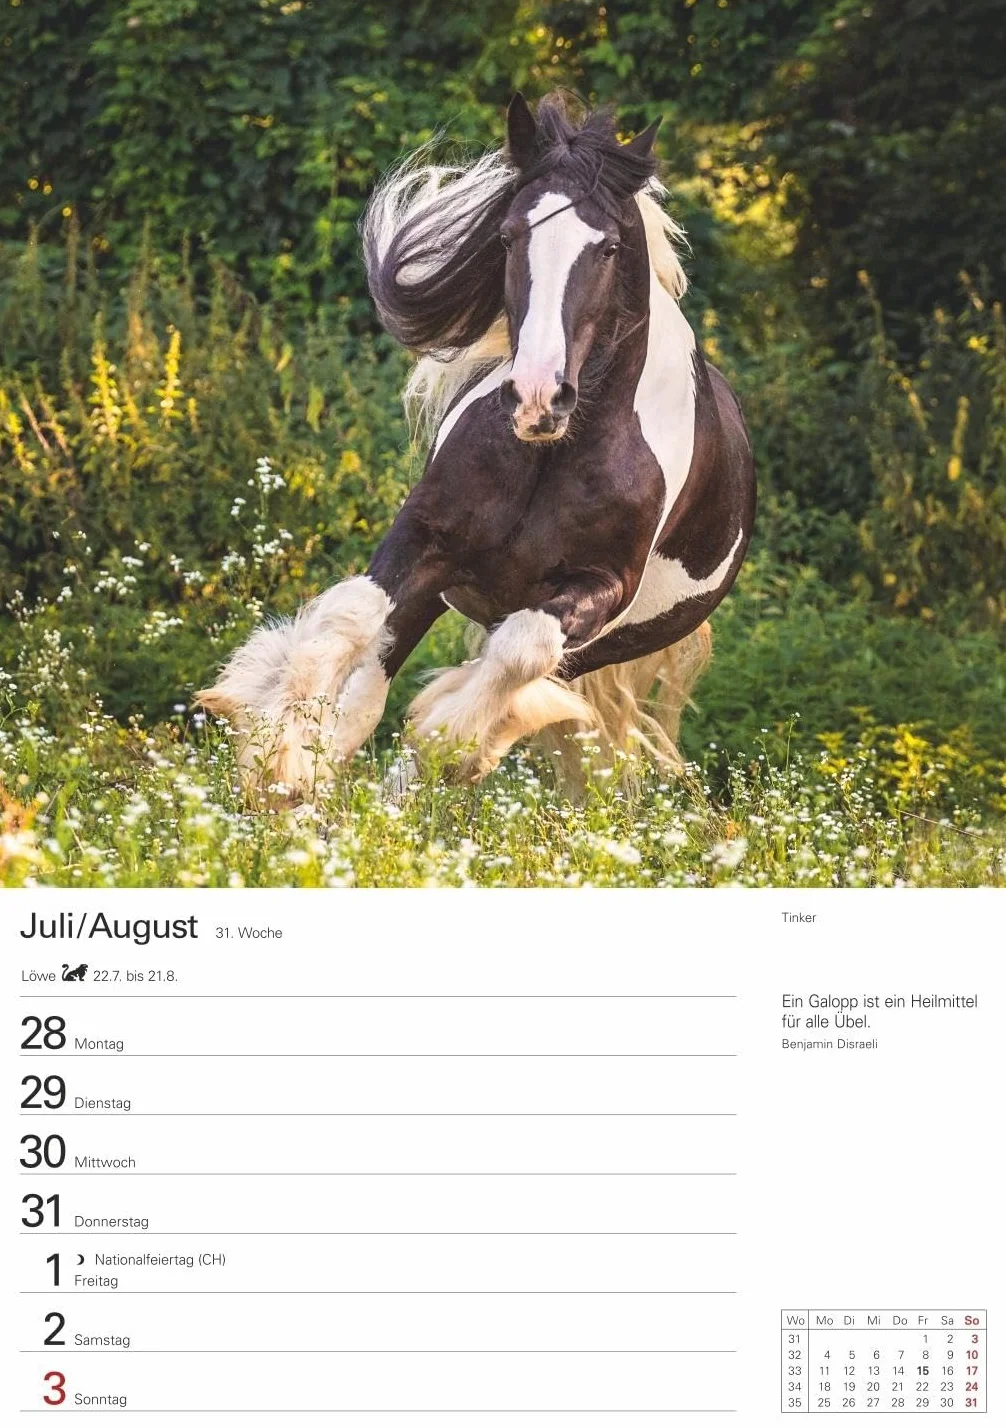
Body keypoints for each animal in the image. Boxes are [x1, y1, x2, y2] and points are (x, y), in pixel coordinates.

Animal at [198, 93, 755, 795]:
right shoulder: (424, 534)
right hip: (441, 590)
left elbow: (511, 663)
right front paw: (282, 763)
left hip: (605, 641)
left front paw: (439, 738)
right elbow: (352, 617)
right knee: (368, 694)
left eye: (608, 247)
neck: (551, 458)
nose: (539, 397)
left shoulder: (600, 587)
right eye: (510, 235)